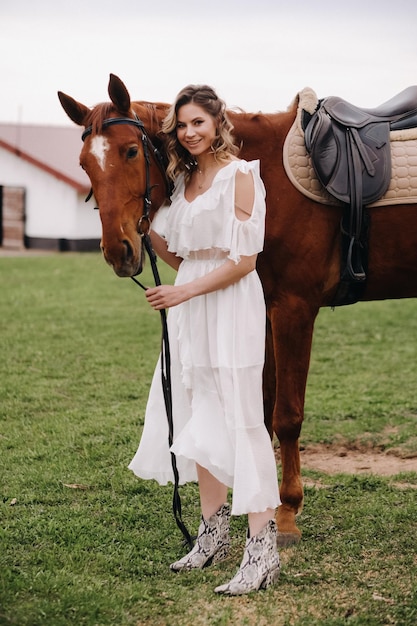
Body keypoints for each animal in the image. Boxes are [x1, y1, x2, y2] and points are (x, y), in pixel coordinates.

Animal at [57, 72, 416, 540]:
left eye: (131, 151)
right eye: (85, 164)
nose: (119, 251)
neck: (266, 179)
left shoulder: (294, 309)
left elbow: (287, 415)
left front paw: (287, 512)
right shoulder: (263, 308)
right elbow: (260, 411)